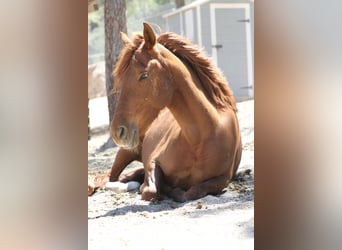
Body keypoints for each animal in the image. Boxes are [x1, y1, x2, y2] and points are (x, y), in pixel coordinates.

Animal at [89, 23, 242, 203]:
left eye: (144, 76)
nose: (117, 131)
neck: (201, 138)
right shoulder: (153, 161)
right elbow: (150, 190)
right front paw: (160, 188)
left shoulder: (223, 178)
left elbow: (193, 191)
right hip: (126, 152)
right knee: (108, 177)